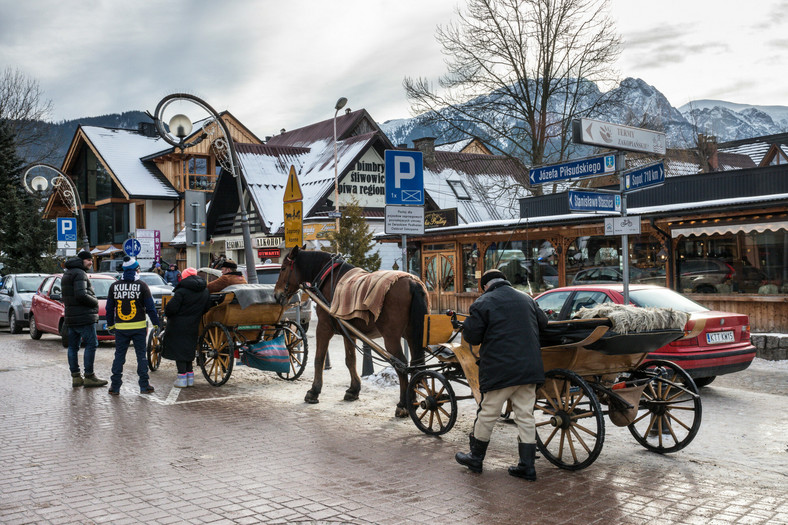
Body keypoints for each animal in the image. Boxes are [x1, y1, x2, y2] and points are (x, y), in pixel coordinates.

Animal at [274, 247, 428, 418]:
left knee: (401, 365)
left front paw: (314, 391)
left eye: (283, 268)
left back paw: (403, 405)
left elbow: (319, 359)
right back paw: (412, 400)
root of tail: (412, 282)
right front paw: (354, 390)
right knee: (416, 365)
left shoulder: (324, 327)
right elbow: (350, 360)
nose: (276, 294)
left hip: (391, 337)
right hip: (412, 334)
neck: (328, 277)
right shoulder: (348, 332)